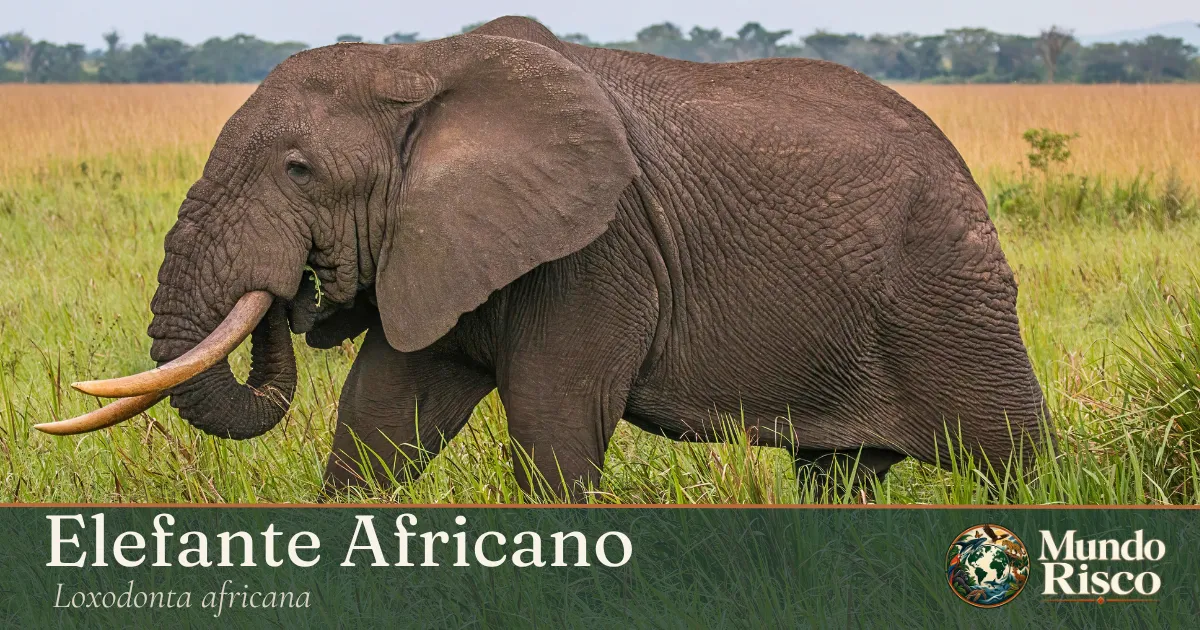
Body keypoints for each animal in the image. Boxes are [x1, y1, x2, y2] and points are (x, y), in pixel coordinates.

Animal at [42, 16, 1049, 500]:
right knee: (840, 474)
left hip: (952, 292)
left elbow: (555, 422)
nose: (300, 292)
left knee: (1010, 455)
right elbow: (381, 417)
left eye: (299, 170)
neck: (421, 62)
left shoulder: (599, 252)